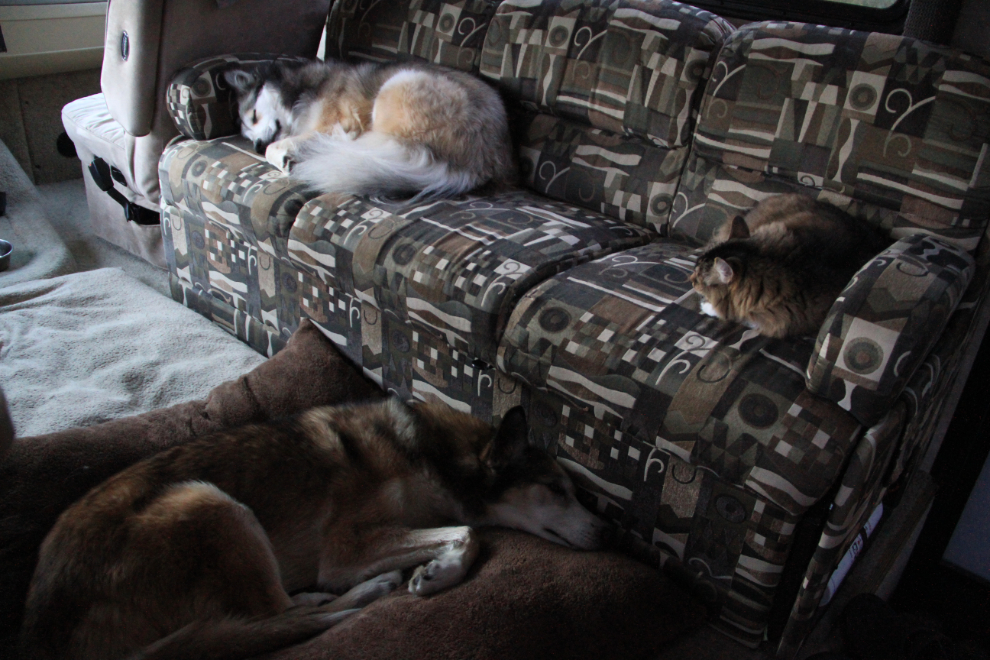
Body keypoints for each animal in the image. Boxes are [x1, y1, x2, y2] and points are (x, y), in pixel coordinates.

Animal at [21, 398, 612, 660]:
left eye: (577, 490)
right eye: (555, 489)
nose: (613, 538)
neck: (432, 454)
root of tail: (45, 633)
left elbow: (463, 531)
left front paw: (434, 567)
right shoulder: (345, 549)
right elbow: (470, 532)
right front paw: (438, 573)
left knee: (275, 610)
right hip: (211, 502)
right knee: (278, 614)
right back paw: (365, 593)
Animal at [226, 60, 520, 200]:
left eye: (253, 115)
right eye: (247, 136)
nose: (255, 146)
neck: (301, 90)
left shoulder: (335, 125)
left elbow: (275, 147)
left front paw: (280, 155)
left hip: (398, 85)